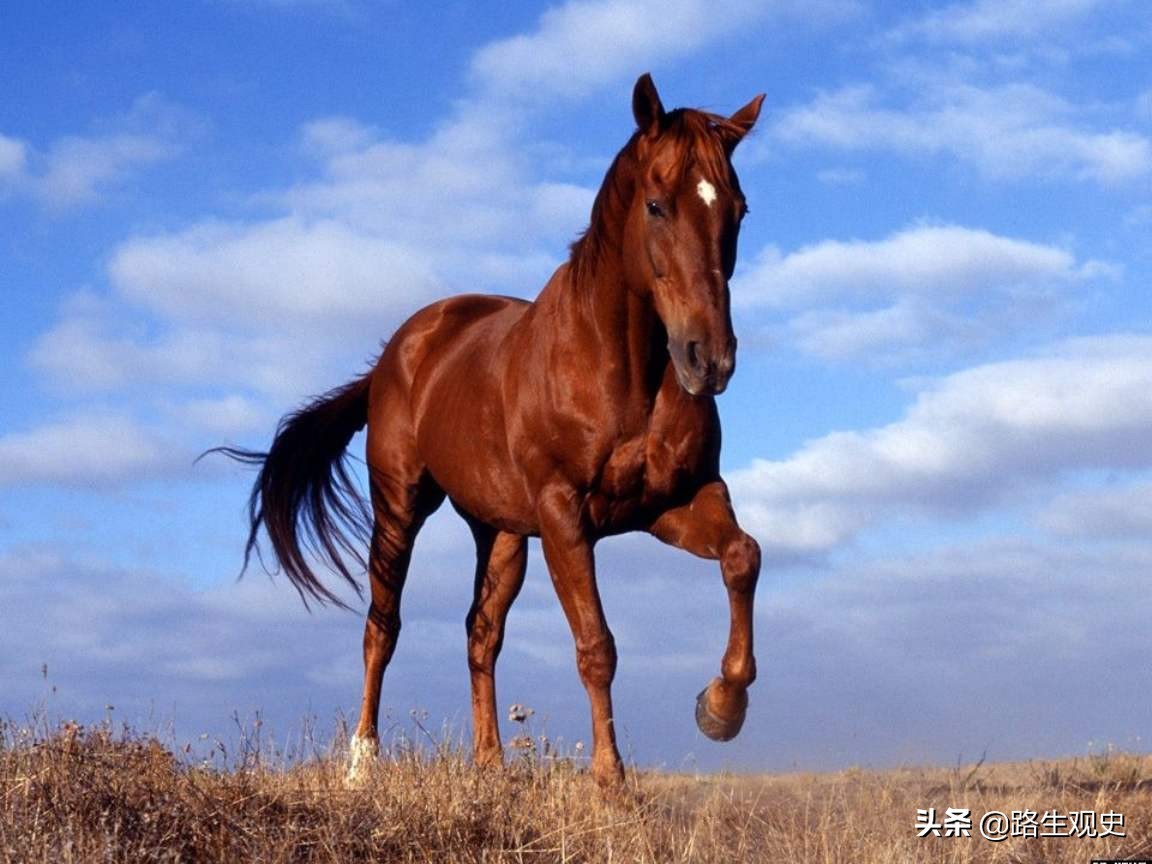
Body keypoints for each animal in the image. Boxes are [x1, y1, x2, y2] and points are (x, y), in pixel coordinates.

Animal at [223, 76, 764, 792]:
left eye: (738, 209)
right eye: (656, 205)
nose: (710, 359)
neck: (620, 370)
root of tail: (396, 354)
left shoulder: (675, 502)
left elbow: (742, 557)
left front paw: (721, 708)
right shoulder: (566, 516)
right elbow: (597, 645)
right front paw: (611, 785)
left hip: (501, 532)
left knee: (480, 633)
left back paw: (489, 766)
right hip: (399, 508)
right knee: (382, 628)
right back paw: (362, 764)